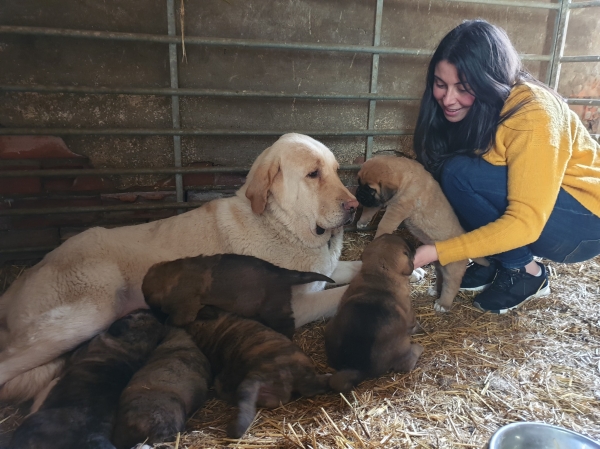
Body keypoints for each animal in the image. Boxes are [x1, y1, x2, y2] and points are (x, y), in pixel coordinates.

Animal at [143, 252, 336, 336]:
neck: (169, 277)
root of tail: (282, 273)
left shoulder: (185, 309)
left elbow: (173, 320)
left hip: (273, 309)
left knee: (287, 325)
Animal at [324, 234, 422, 392]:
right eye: (408, 249)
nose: (414, 247)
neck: (378, 275)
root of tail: (355, 367)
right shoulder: (409, 314)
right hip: (403, 347)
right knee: (407, 362)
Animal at [356, 156, 488, 314]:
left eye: (370, 189)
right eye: (359, 183)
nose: (358, 194)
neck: (406, 178)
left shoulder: (397, 209)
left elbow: (384, 224)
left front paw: (379, 237)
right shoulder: (381, 201)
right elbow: (369, 210)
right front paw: (362, 222)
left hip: (452, 269)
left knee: (451, 285)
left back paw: (443, 304)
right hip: (439, 264)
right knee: (440, 277)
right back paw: (434, 290)